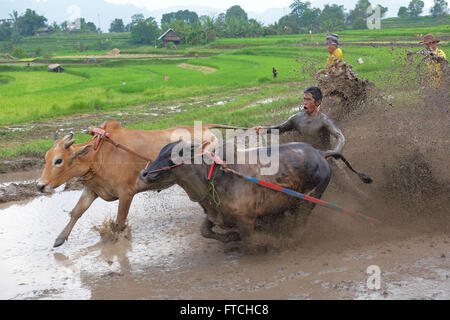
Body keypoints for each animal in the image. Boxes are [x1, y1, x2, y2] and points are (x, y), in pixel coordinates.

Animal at [36, 120, 225, 248]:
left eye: (58, 160)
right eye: (46, 158)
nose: (39, 185)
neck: (98, 157)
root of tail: (205, 128)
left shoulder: (126, 194)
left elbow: (119, 223)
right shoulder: (92, 190)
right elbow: (77, 212)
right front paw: (60, 238)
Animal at [138, 141, 372, 248]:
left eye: (172, 156)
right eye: (159, 152)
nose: (144, 174)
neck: (213, 176)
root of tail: (321, 154)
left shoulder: (246, 218)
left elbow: (250, 240)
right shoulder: (215, 214)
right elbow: (205, 231)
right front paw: (229, 237)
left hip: (310, 199)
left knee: (300, 221)